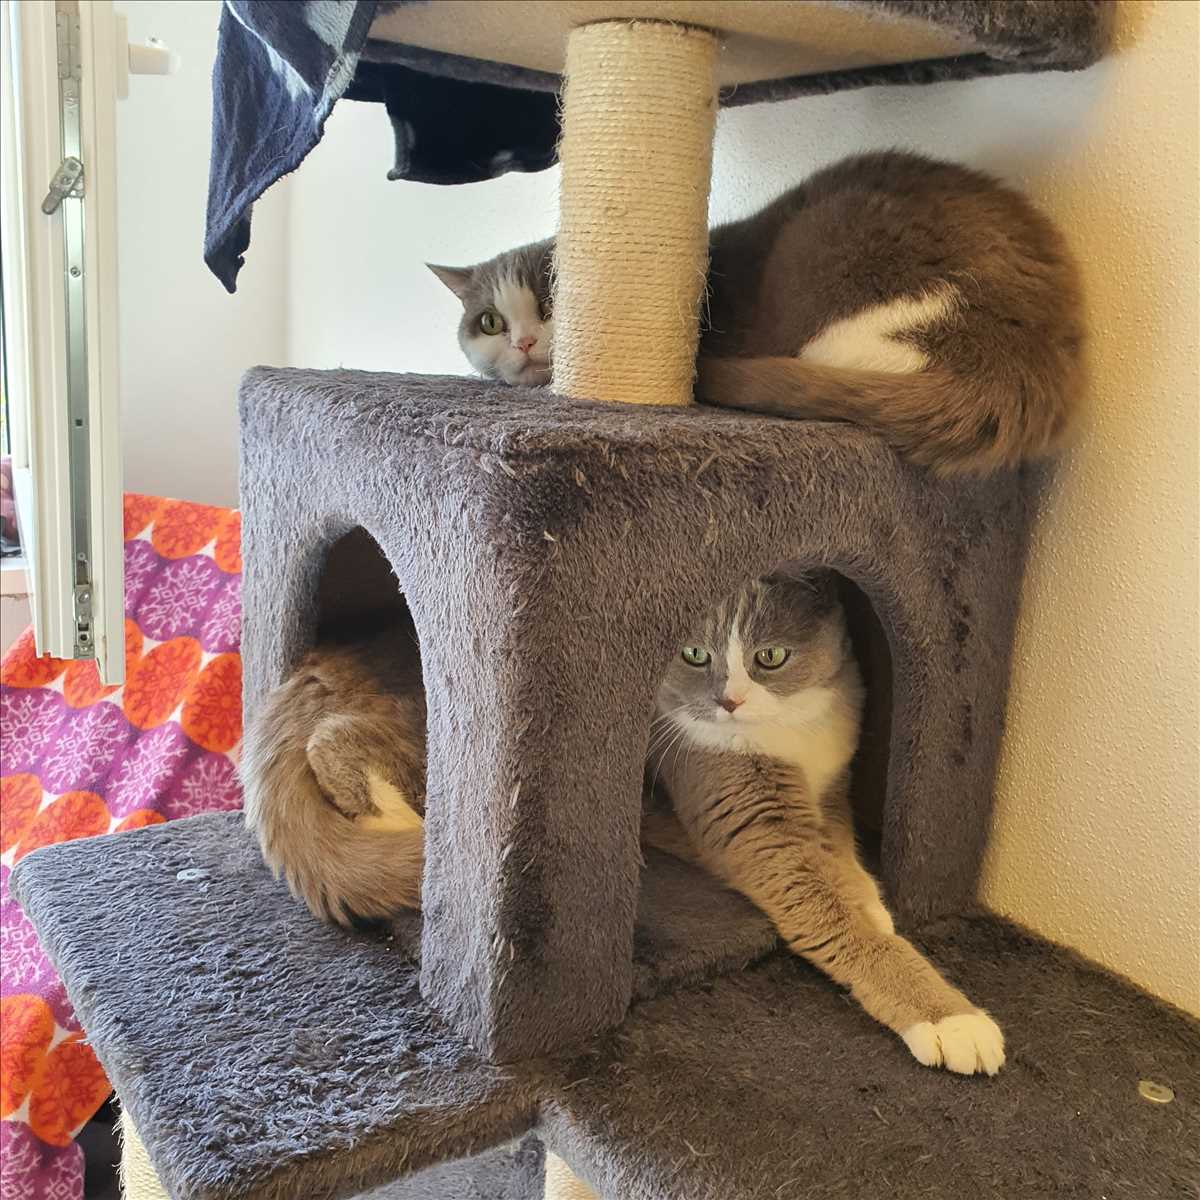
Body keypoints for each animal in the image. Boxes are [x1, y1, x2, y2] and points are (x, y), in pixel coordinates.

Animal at [242, 574, 1003, 1075]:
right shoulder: (751, 820)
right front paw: (950, 1018)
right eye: (693, 653)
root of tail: (312, 669)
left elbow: (841, 858)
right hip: (443, 730)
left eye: (770, 657)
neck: (792, 735)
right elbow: (830, 911)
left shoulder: (831, 790)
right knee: (340, 745)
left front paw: (872, 901)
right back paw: (414, 833)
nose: (728, 701)